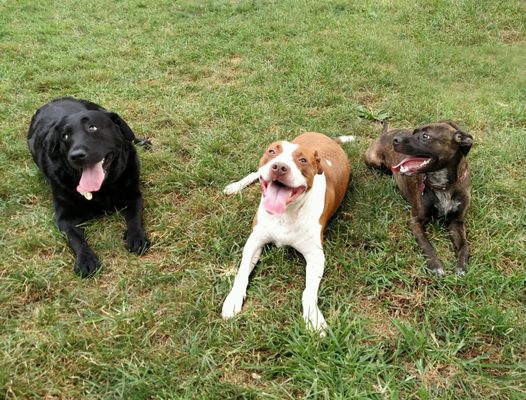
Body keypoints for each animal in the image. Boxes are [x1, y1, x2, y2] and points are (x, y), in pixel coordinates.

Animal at [29, 98, 151, 276]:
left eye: (92, 127)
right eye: (65, 136)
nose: (76, 155)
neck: (103, 189)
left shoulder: (133, 196)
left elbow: (134, 217)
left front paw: (136, 237)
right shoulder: (64, 218)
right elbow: (76, 238)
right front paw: (85, 259)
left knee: (129, 135)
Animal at [223, 133, 354, 332]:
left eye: (303, 160)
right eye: (272, 151)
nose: (279, 167)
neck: (286, 213)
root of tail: (325, 137)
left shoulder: (316, 256)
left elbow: (309, 291)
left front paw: (314, 317)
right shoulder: (255, 241)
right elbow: (242, 272)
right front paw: (233, 298)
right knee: (255, 173)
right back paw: (235, 186)